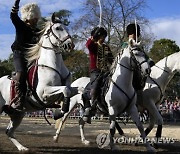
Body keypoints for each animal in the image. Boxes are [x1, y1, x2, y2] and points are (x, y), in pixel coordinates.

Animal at [0, 13, 78, 152]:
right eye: (58, 28)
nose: (70, 45)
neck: (54, 65)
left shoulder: (67, 88)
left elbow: (74, 90)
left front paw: (59, 111)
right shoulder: (44, 93)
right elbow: (65, 90)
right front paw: (61, 110)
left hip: (18, 114)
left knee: (9, 132)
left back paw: (22, 148)